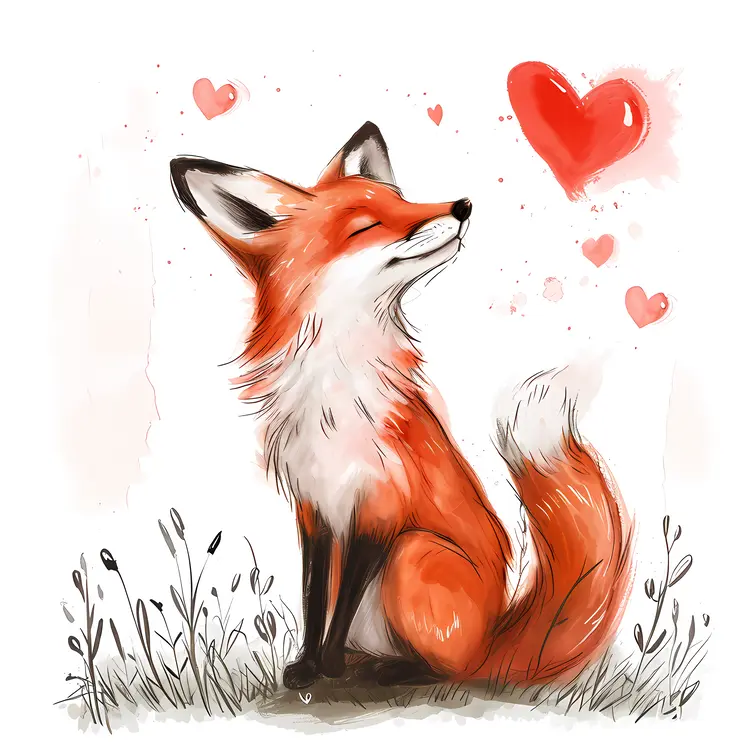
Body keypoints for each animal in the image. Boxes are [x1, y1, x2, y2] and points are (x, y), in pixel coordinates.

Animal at [169, 121, 634, 690]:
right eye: (367, 225)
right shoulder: (314, 510)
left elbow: (342, 601)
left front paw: (327, 667)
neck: (337, 393)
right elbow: (314, 598)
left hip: (413, 554)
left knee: (450, 669)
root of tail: (492, 639)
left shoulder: (381, 507)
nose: (462, 205)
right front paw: (306, 666)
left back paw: (389, 670)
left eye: (404, 201)